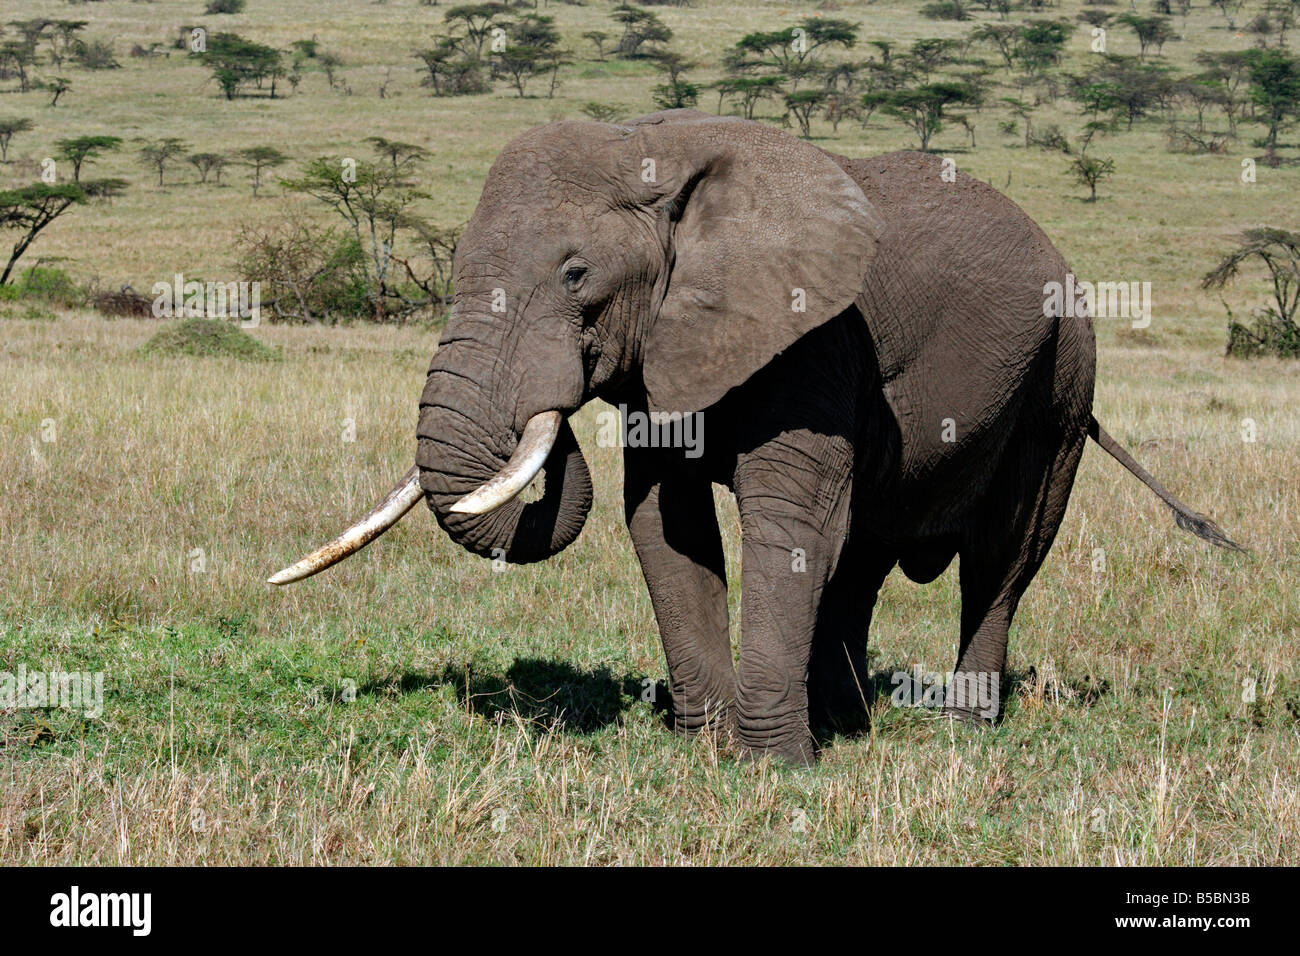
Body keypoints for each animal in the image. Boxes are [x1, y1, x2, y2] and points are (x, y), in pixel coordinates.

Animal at [269, 108, 1242, 764]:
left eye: (576, 275)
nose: (556, 403)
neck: (654, 158)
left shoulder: (815, 337)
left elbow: (787, 524)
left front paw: (773, 766)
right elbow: (665, 524)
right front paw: (706, 746)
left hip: (1064, 375)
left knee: (1006, 554)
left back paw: (961, 729)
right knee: (866, 553)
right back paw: (848, 720)